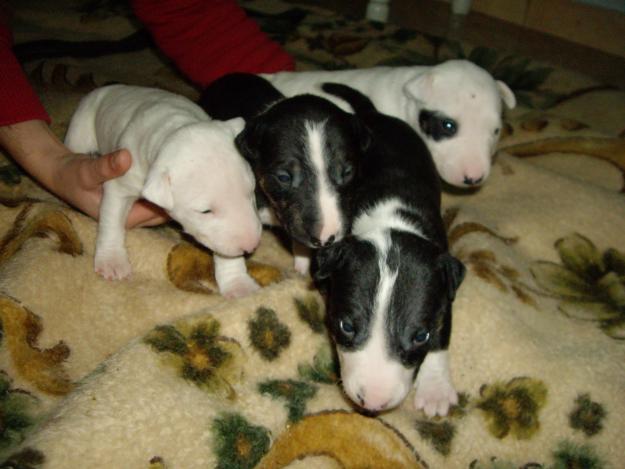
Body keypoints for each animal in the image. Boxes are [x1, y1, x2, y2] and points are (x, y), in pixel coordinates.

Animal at [66, 84, 264, 296]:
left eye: (251, 193)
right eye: (205, 211)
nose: (251, 246)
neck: (173, 125)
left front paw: (239, 285)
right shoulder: (123, 176)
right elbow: (112, 218)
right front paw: (112, 262)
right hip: (81, 124)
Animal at [314, 82, 466, 414]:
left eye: (420, 335)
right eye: (346, 325)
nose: (373, 402)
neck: (391, 218)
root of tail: (375, 114)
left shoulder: (443, 295)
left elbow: (442, 336)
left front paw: (435, 391)